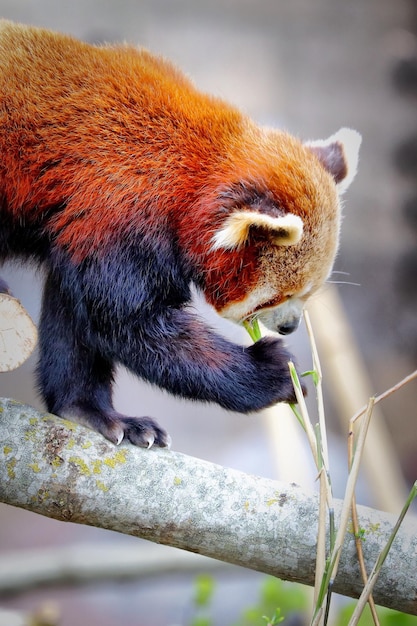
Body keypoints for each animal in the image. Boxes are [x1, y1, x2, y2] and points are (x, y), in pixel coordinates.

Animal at [0, 22, 360, 446]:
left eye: (308, 295)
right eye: (280, 296)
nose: (291, 326)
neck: (193, 174)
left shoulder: (79, 228)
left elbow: (76, 319)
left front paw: (88, 410)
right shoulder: (121, 209)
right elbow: (128, 322)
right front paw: (270, 373)